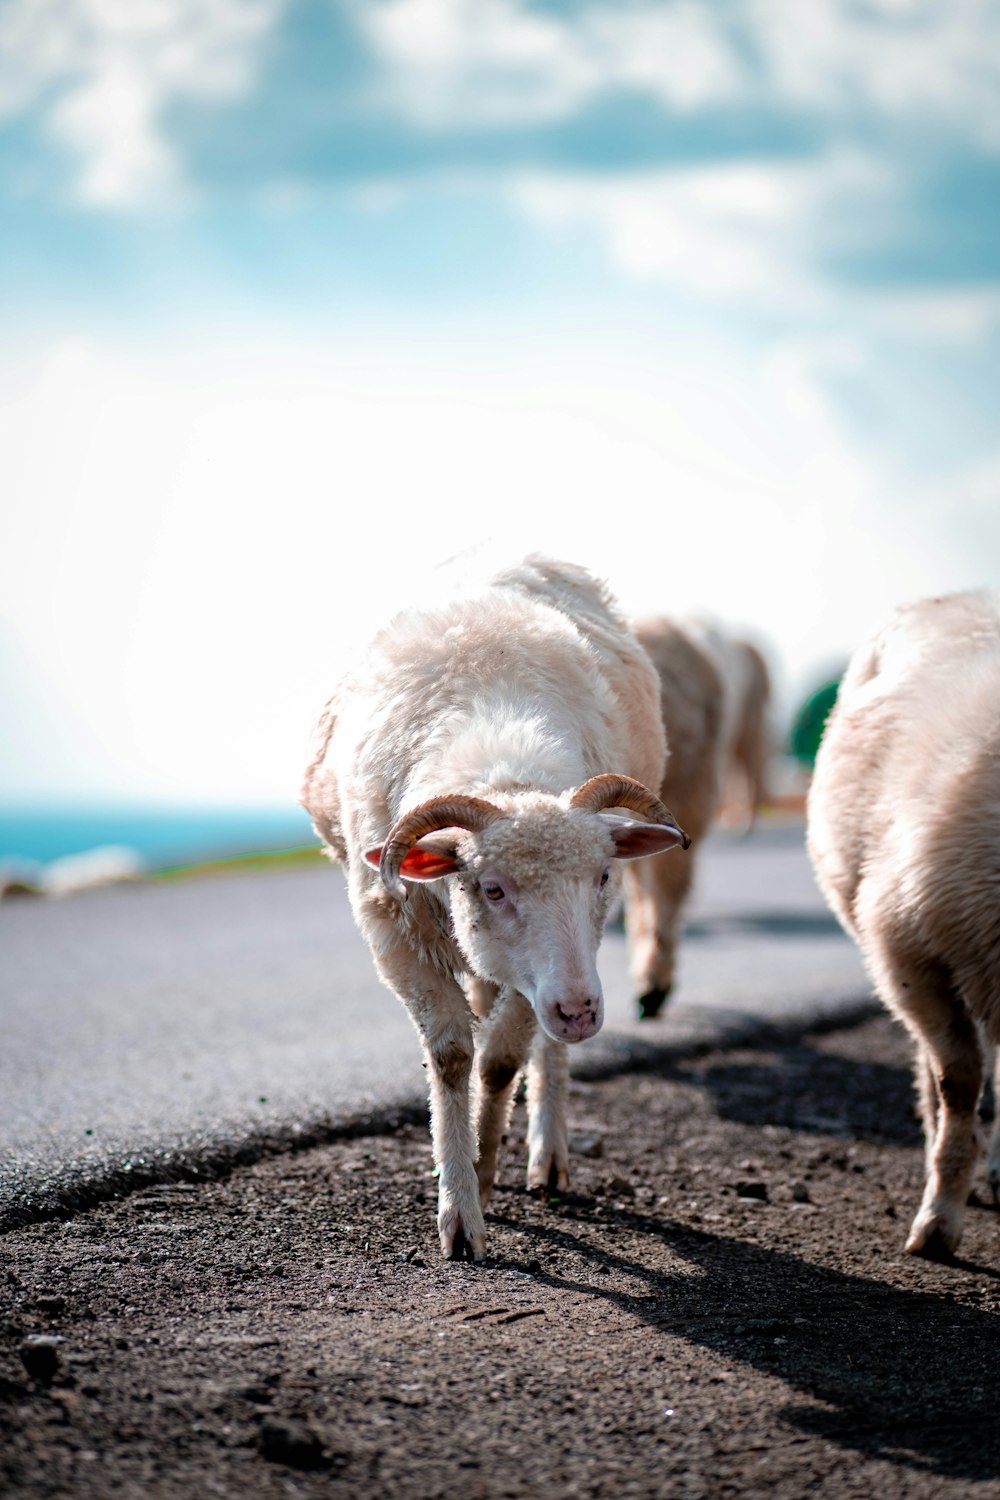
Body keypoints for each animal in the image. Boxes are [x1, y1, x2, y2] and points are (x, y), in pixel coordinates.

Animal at [301, 552, 692, 1254]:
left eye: (601, 876)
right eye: (493, 887)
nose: (581, 1011)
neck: (502, 766)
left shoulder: (551, 968)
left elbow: (503, 1059)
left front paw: (483, 1173)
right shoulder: (394, 930)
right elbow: (454, 1056)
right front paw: (458, 1208)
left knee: (544, 1047)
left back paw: (547, 1154)